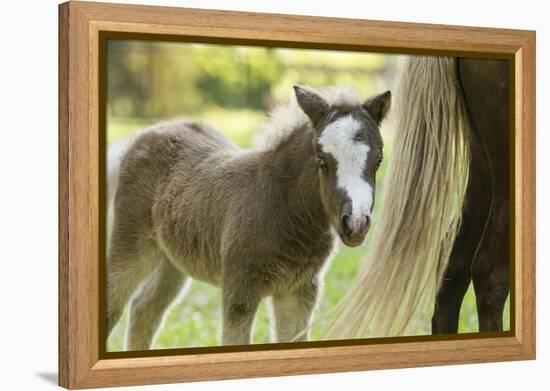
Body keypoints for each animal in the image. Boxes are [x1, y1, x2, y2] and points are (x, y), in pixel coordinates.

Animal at [108, 86, 392, 350]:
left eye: (378, 160)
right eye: (321, 160)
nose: (355, 223)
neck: (285, 209)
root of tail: (144, 134)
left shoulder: (299, 290)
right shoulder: (240, 289)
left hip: (173, 259)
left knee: (144, 308)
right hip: (131, 242)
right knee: (115, 304)